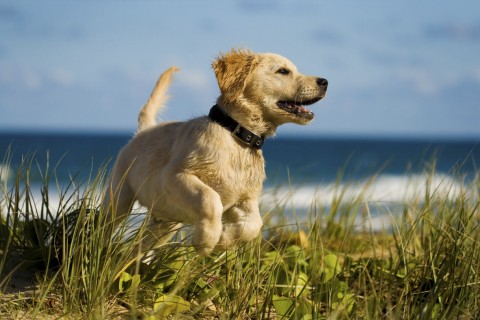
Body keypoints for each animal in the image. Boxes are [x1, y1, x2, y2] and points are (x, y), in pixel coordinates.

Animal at [103, 48, 328, 256]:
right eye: (283, 71)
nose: (325, 81)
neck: (237, 135)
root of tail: (144, 130)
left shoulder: (245, 198)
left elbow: (254, 224)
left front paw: (225, 240)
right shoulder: (175, 176)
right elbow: (209, 199)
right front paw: (206, 240)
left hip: (165, 224)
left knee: (137, 250)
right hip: (119, 198)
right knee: (104, 225)